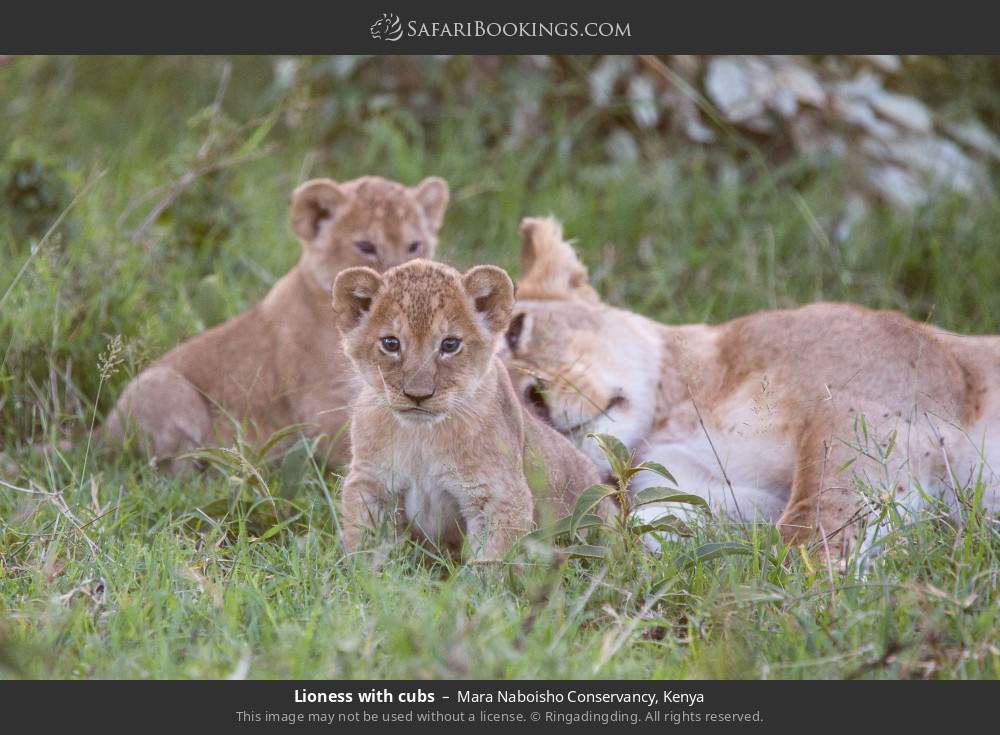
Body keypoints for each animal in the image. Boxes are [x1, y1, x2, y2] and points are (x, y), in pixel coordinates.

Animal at [332, 259, 602, 561]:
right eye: (391, 344)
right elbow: (365, 545)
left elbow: (490, 560)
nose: (418, 395)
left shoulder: (500, 494)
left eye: (450, 345)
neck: (421, 437)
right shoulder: (370, 481)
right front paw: (363, 571)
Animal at [502, 216, 1000, 558]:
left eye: (516, 329)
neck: (677, 411)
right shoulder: (708, 488)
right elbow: (657, 521)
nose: (536, 401)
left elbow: (817, 512)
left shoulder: (867, 409)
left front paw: (812, 593)